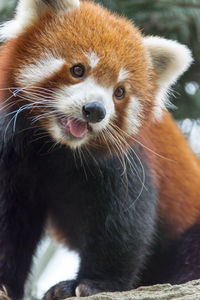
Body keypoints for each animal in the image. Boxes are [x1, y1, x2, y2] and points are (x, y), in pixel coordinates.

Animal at [0, 0, 200, 298]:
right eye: (78, 70)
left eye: (119, 92)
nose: (95, 110)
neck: (58, 148)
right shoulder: (14, 155)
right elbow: (11, 222)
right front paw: (5, 282)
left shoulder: (127, 161)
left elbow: (124, 225)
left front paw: (92, 283)